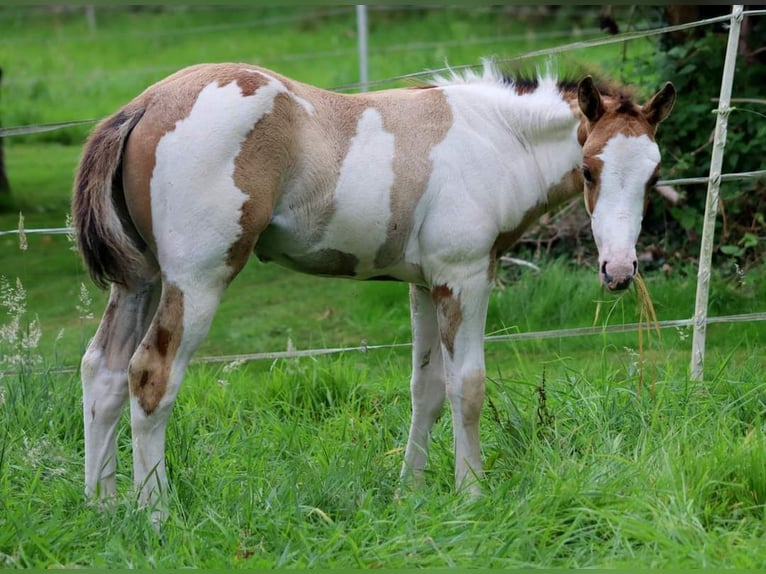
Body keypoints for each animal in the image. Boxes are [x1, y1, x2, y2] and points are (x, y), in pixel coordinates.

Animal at [70, 60, 672, 516]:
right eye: (590, 169)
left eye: (654, 175)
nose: (619, 270)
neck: (496, 140)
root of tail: (146, 103)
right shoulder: (464, 277)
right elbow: (468, 387)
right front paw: (471, 493)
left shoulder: (425, 286)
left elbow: (427, 389)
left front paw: (411, 494)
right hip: (197, 279)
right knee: (151, 375)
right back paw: (155, 513)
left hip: (141, 280)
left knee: (103, 370)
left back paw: (103, 506)